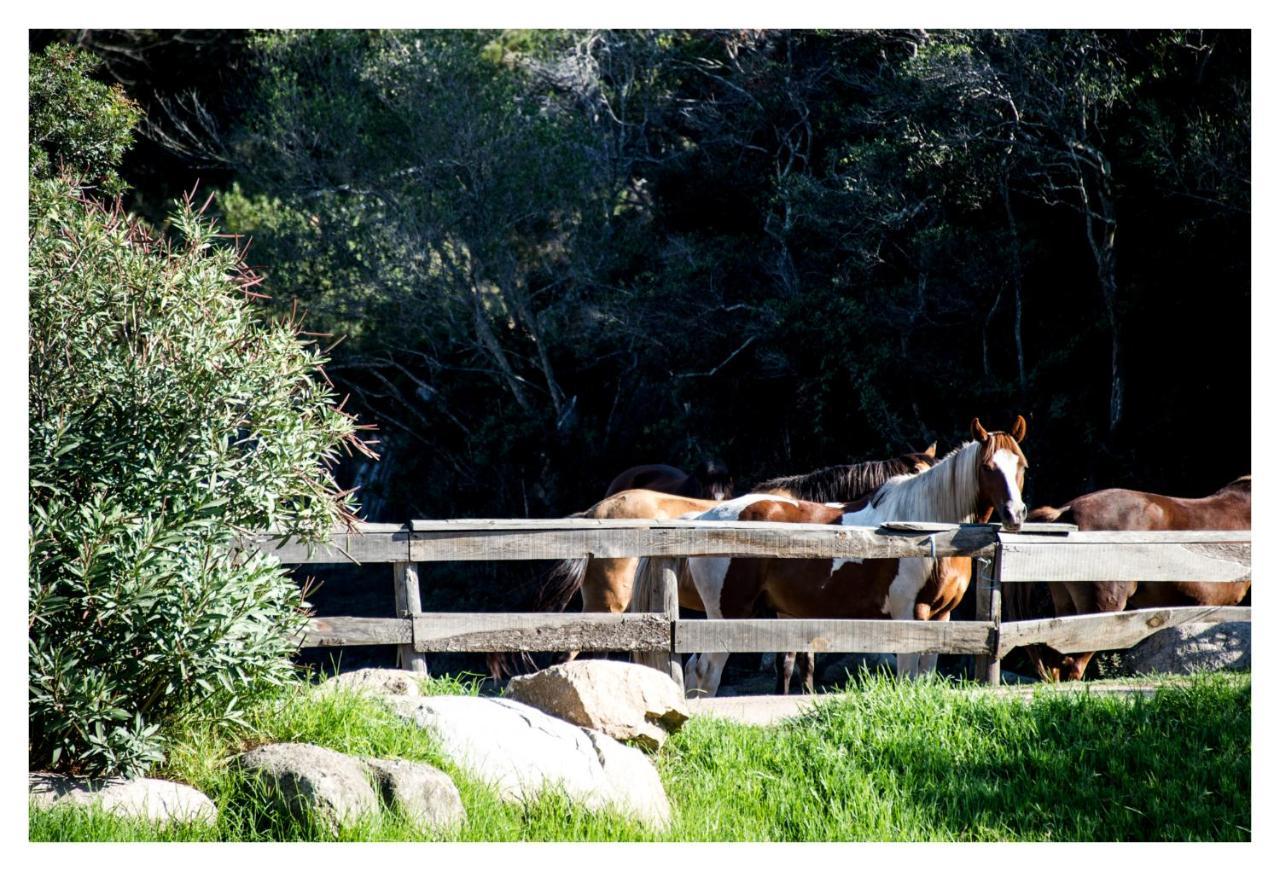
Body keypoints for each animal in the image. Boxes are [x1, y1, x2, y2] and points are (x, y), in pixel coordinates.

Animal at [660, 417, 1029, 696]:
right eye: (988, 467)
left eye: (1022, 466)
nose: (1016, 513)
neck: (926, 528)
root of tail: (705, 517)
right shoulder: (910, 614)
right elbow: (908, 676)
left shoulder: (941, 617)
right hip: (728, 616)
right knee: (707, 672)